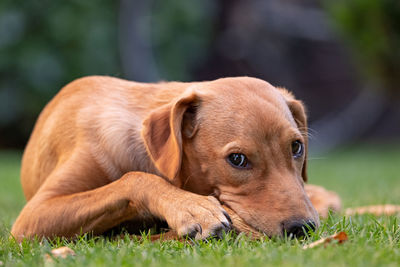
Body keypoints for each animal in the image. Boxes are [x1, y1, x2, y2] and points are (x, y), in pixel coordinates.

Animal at [11, 76, 334, 242]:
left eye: (296, 147)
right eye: (238, 159)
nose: (303, 228)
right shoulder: (33, 216)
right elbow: (133, 178)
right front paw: (192, 208)